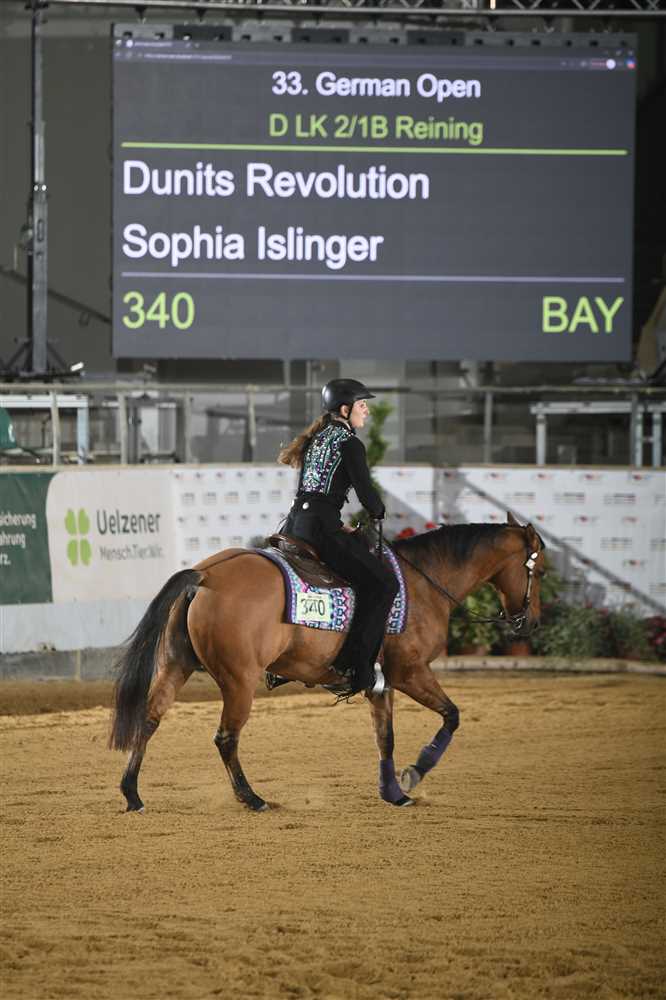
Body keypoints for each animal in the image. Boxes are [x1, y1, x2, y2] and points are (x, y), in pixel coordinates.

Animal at [110, 512, 544, 811]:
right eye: (538, 569)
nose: (533, 622)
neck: (423, 584)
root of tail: (204, 575)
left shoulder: (379, 683)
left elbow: (385, 737)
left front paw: (393, 792)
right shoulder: (410, 672)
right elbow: (451, 715)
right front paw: (415, 772)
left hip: (176, 665)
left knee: (150, 718)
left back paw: (133, 794)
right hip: (239, 681)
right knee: (226, 737)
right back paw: (252, 798)